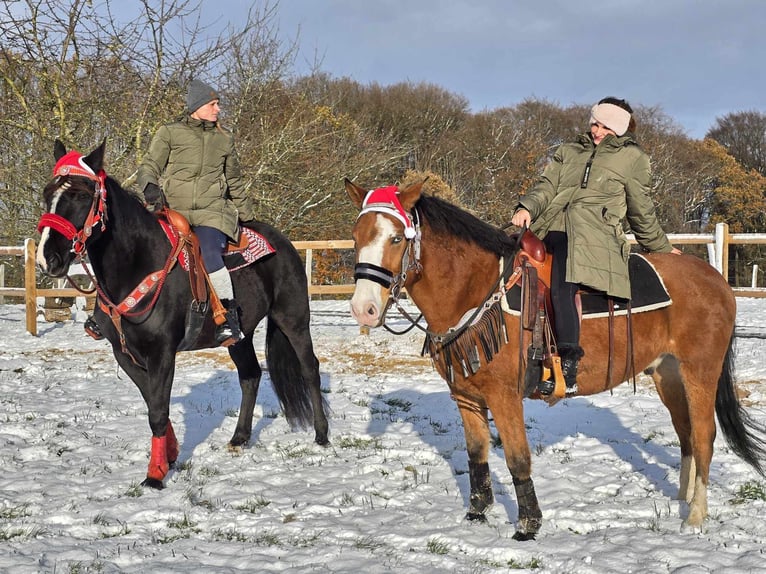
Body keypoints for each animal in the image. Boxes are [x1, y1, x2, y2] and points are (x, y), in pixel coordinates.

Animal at [36, 142, 330, 488]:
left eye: (82, 196)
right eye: (48, 194)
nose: (47, 258)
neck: (139, 264)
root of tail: (283, 243)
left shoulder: (162, 353)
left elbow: (158, 411)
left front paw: (154, 476)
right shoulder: (124, 353)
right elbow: (153, 403)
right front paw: (170, 455)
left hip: (293, 320)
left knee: (310, 369)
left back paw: (322, 435)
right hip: (239, 336)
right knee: (250, 376)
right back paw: (239, 438)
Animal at [346, 181, 766, 544]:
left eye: (396, 238)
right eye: (356, 236)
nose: (364, 309)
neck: (477, 290)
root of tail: (716, 279)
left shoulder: (504, 397)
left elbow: (517, 459)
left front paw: (528, 525)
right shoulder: (466, 397)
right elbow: (477, 454)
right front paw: (477, 513)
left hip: (700, 372)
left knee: (704, 437)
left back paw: (695, 515)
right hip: (668, 374)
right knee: (685, 435)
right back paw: (682, 497)